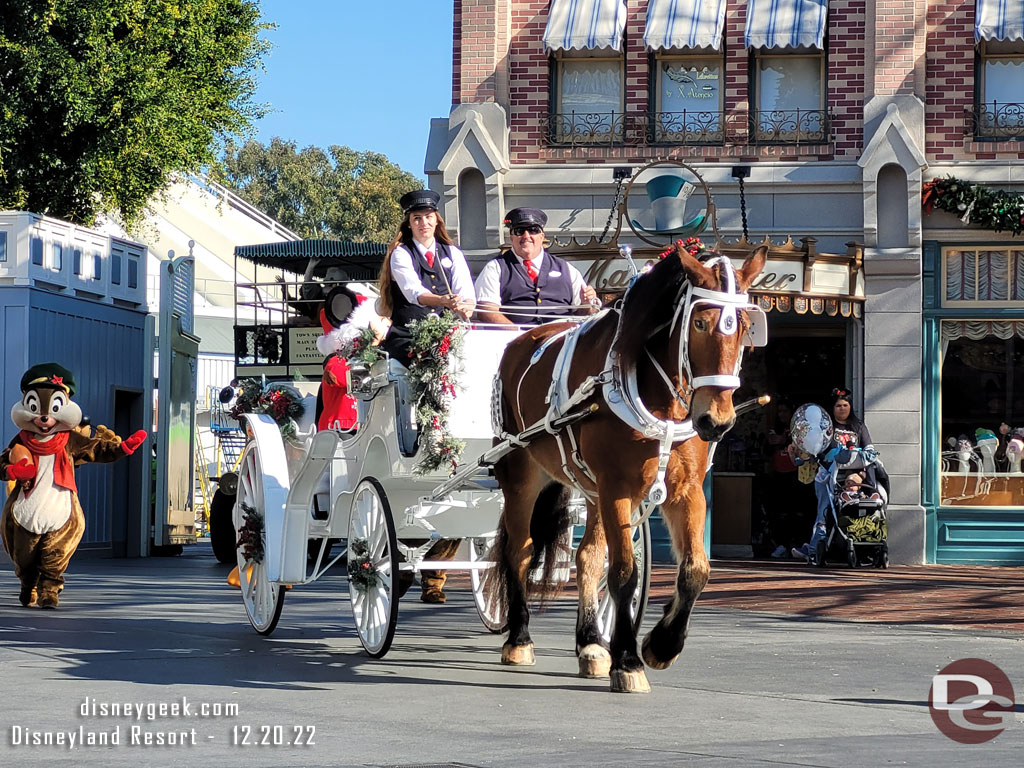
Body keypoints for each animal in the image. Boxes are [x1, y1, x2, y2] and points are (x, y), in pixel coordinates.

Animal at [489, 243, 770, 696]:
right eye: (700, 322)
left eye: (745, 326)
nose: (717, 420)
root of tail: (521, 340)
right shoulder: (618, 488)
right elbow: (624, 573)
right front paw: (628, 659)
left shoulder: (686, 490)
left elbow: (695, 569)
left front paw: (661, 645)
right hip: (521, 476)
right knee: (520, 551)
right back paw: (519, 638)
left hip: (590, 489)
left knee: (587, 556)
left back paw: (590, 643)